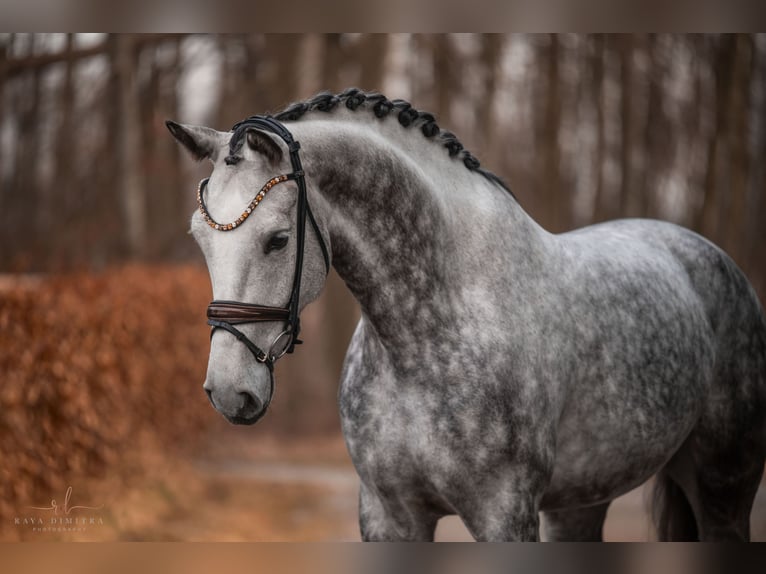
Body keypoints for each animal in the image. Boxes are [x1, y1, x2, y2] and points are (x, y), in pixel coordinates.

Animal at [166, 88, 766, 544]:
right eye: (198, 238)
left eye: (278, 239)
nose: (229, 391)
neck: (425, 337)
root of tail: (710, 257)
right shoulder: (389, 515)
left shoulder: (503, 514)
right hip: (583, 501)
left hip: (723, 487)